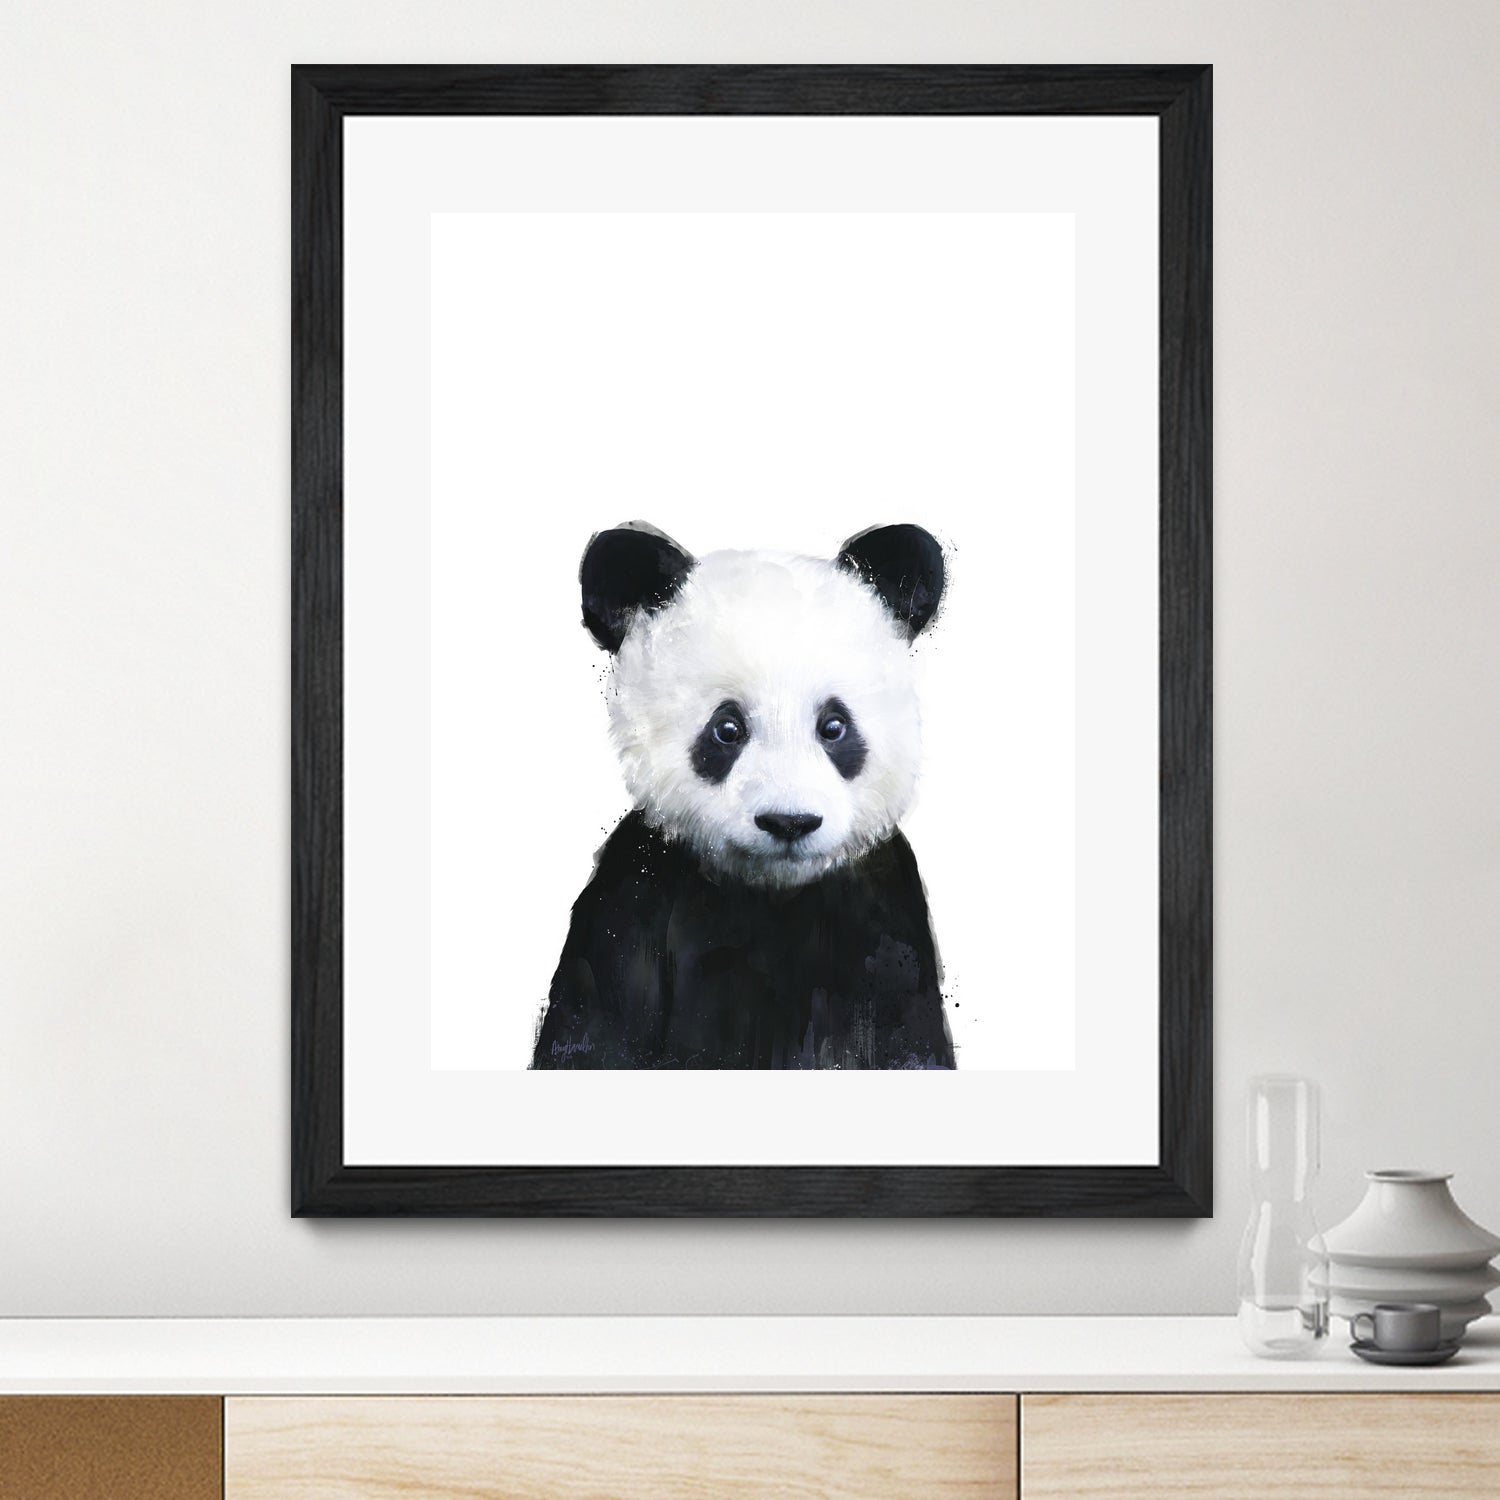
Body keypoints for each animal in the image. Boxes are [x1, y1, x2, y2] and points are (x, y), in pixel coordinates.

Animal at [530, 521, 955, 1070]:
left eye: (834, 726)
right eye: (727, 728)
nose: (789, 822)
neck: (771, 892)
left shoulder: (884, 916)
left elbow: (908, 1041)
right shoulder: (634, 898)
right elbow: (594, 1030)